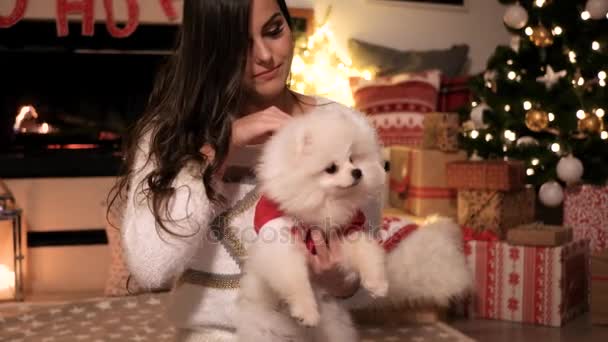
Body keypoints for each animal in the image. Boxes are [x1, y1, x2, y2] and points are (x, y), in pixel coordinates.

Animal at [235, 109, 388, 342]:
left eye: (353, 159)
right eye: (331, 168)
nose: (357, 173)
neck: (321, 203)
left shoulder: (345, 231)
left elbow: (367, 252)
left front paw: (377, 283)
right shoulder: (280, 241)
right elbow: (294, 278)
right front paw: (306, 312)